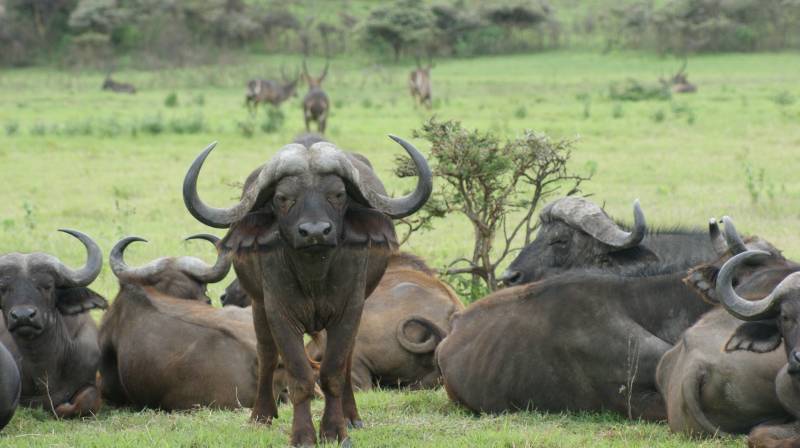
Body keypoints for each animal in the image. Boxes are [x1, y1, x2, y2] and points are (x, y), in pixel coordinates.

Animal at [182, 136, 432, 444]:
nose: (315, 232)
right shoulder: (279, 314)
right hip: (257, 305)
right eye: (282, 198)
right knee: (266, 355)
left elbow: (333, 372)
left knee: (347, 359)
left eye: (338, 194)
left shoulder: (349, 312)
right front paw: (302, 435)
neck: (314, 273)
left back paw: (352, 416)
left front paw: (336, 430)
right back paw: (261, 416)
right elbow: (299, 376)